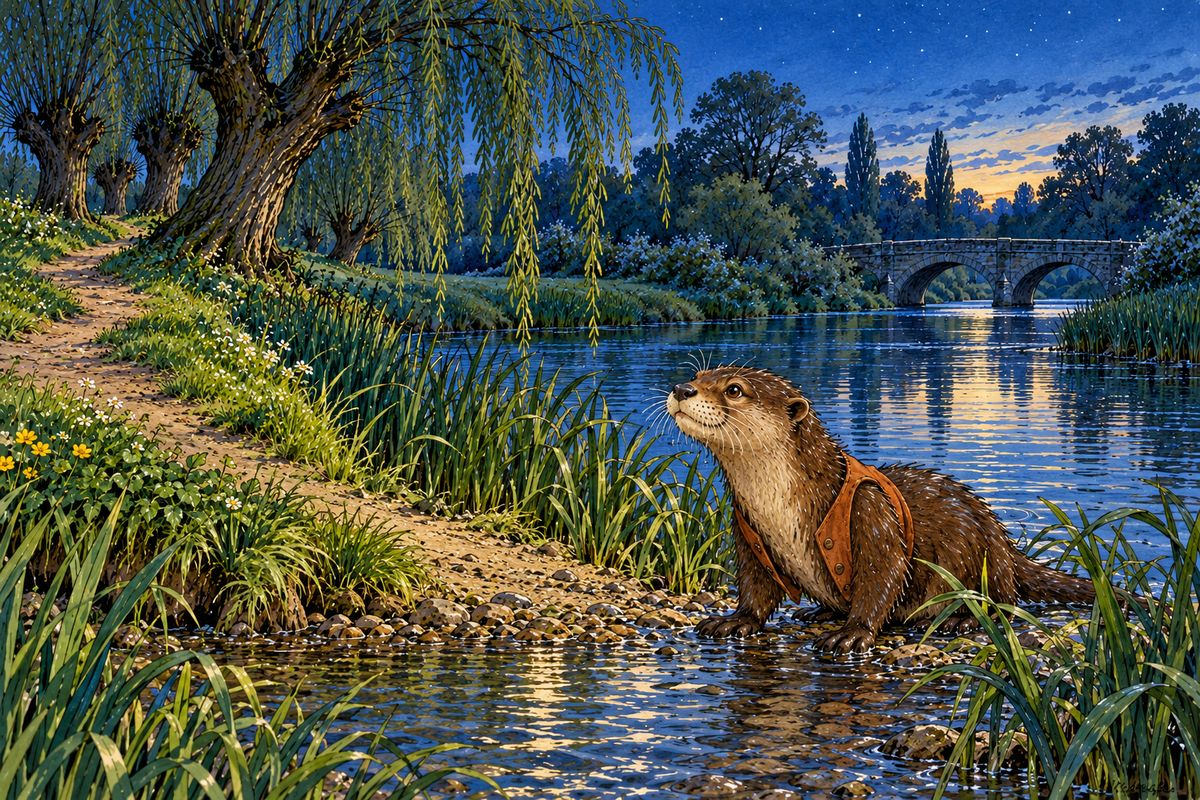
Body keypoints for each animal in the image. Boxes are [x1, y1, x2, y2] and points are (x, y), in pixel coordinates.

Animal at [666, 365, 1096, 653]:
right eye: (700, 374)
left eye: (734, 389)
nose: (682, 388)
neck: (778, 508)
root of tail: (1005, 543)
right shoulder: (746, 529)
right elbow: (756, 586)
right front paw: (735, 621)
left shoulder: (870, 510)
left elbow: (882, 575)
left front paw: (853, 633)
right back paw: (819, 613)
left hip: (983, 556)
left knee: (1003, 602)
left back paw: (957, 619)